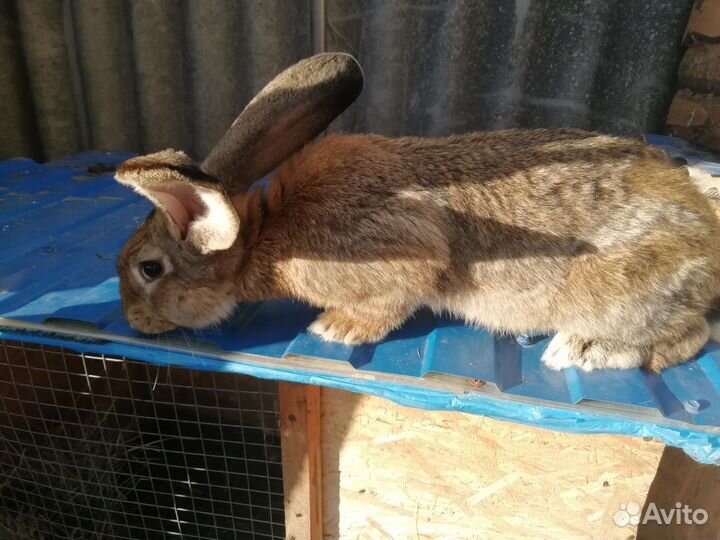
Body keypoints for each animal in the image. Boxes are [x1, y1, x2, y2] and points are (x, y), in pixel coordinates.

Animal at [114, 52, 720, 372]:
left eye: (150, 269)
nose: (133, 322)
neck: (264, 234)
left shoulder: (400, 259)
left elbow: (390, 302)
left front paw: (334, 329)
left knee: (690, 335)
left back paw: (582, 349)